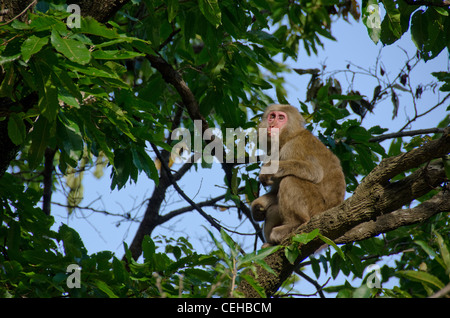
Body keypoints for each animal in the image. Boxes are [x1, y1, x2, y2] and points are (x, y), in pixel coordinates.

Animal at [251, 104, 346, 246]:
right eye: (272, 116)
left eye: (281, 118)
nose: (272, 124)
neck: (289, 137)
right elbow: (275, 191)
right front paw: (257, 207)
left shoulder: (293, 147)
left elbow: (314, 171)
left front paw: (268, 170)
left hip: (316, 208)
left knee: (290, 180)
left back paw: (295, 224)